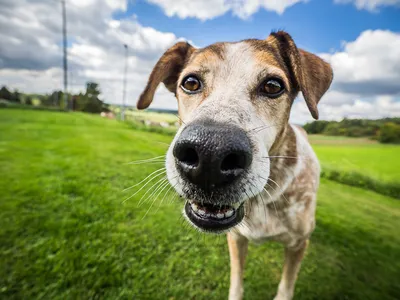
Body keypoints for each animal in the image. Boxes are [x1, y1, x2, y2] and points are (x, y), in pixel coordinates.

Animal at [136, 31, 332, 300]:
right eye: (190, 82)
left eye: (273, 86)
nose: (210, 154)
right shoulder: (237, 238)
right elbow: (237, 281)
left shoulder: (298, 245)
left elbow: (285, 287)